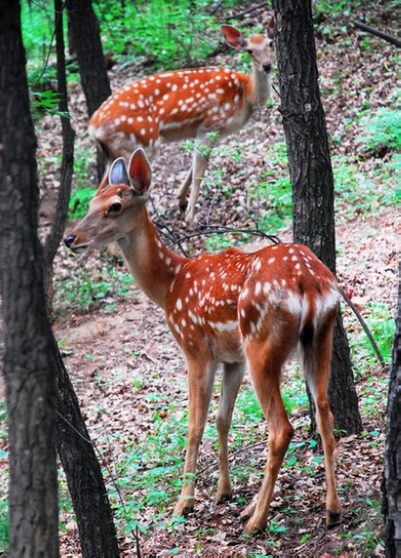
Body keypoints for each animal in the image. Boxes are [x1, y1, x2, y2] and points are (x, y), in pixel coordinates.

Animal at [63, 150, 340, 540]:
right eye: (91, 202)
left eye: (114, 206)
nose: (70, 238)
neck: (169, 285)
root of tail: (309, 282)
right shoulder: (232, 358)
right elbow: (223, 419)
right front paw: (224, 492)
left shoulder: (195, 347)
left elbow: (194, 426)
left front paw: (185, 503)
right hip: (320, 336)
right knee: (325, 410)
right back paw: (331, 510)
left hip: (261, 343)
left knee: (281, 428)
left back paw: (256, 521)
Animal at [88, 19, 274, 225]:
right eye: (249, 50)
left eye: (270, 43)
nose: (267, 65)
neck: (246, 95)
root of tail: (93, 126)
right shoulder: (210, 126)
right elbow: (199, 172)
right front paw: (190, 218)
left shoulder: (207, 133)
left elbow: (192, 168)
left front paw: (181, 201)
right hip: (139, 143)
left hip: (112, 154)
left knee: (98, 192)